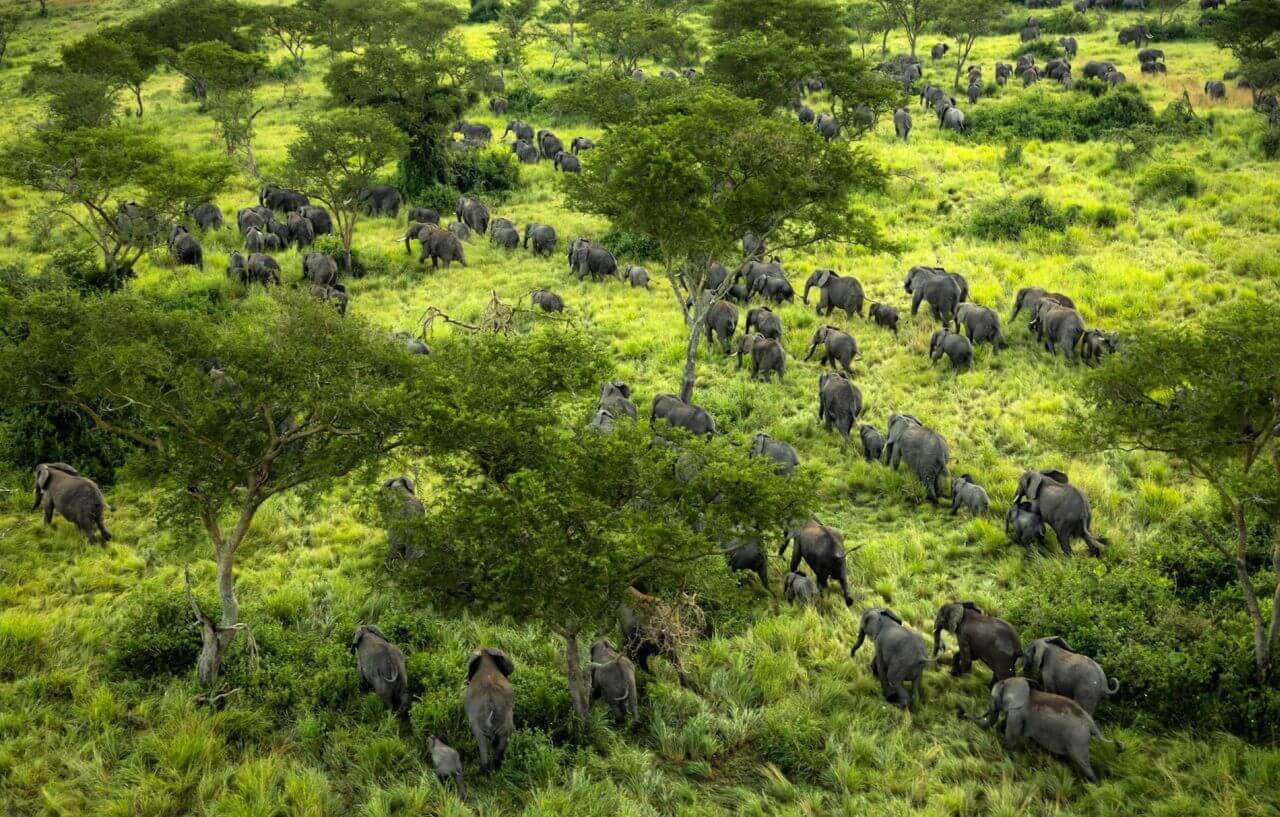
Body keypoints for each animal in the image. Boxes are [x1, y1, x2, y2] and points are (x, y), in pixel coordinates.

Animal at [962, 676, 1126, 783]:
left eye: (993, 698)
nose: (963, 714)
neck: (1014, 681)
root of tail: (1091, 723)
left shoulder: (1018, 712)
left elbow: (1011, 735)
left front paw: (1006, 753)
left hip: (1077, 739)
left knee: (1082, 762)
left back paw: (1093, 785)